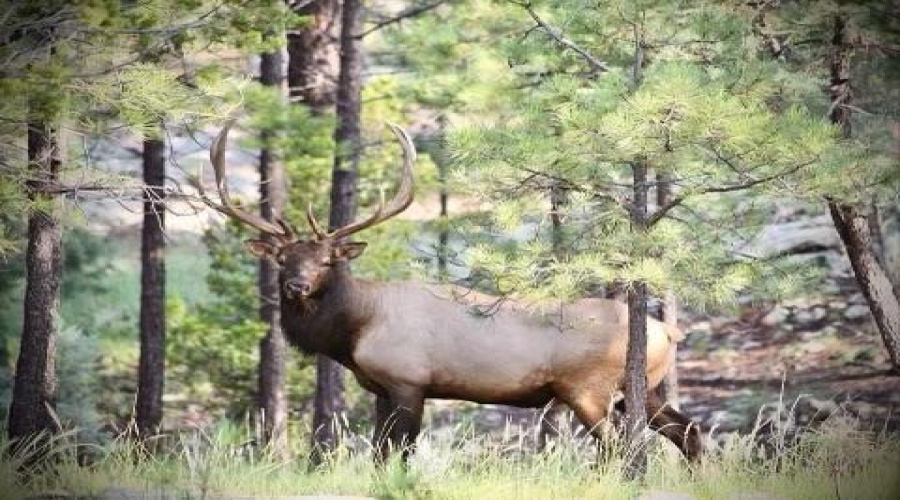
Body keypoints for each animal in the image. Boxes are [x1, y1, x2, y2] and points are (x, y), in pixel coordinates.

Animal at [199, 123, 704, 462]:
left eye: (328, 261)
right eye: (283, 259)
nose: (296, 285)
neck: (356, 329)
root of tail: (668, 331)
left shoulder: (409, 380)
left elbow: (399, 454)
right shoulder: (380, 388)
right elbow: (379, 454)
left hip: (590, 390)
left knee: (624, 449)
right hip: (644, 388)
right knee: (689, 431)